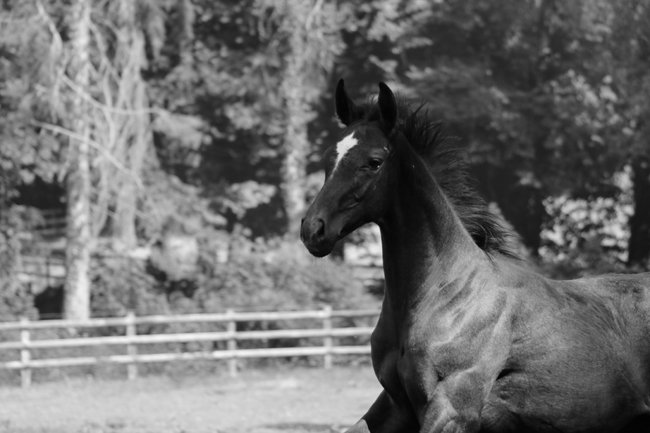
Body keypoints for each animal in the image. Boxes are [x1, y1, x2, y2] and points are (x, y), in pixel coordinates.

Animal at [300, 80, 650, 433]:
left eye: (373, 161)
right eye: (331, 156)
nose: (313, 229)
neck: (447, 292)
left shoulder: (452, 408)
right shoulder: (394, 406)